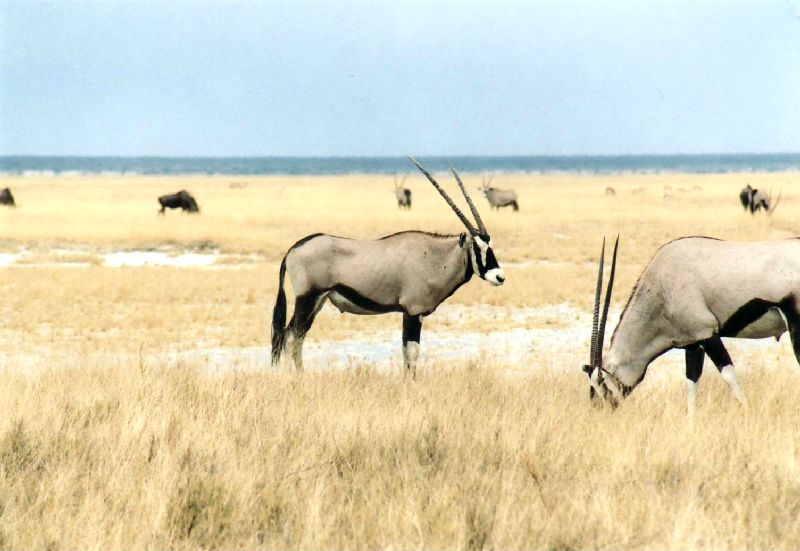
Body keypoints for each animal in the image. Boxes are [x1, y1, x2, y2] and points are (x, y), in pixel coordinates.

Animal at [272, 158, 504, 376]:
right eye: (477, 247)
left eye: (491, 245)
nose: (499, 277)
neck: (435, 258)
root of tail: (293, 249)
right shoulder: (413, 312)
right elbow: (412, 351)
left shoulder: (409, 313)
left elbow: (406, 352)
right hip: (307, 299)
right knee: (291, 337)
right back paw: (296, 377)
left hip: (317, 302)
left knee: (294, 336)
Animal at [580, 237, 800, 414]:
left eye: (600, 381)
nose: (597, 410)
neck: (662, 289)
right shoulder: (693, 344)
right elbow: (691, 383)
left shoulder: (707, 334)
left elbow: (728, 374)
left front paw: (746, 413)